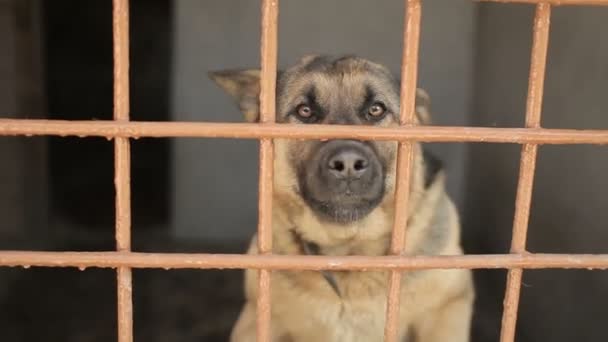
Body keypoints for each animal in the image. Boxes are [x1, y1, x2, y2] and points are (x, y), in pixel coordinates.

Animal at [209, 54, 476, 340]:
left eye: (376, 110)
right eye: (305, 111)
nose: (347, 164)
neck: (347, 250)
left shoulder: (448, 309)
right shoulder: (254, 321)